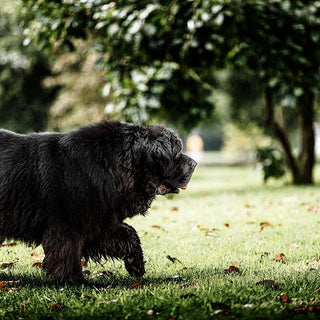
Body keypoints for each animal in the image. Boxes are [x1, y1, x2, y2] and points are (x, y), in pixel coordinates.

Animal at [0, 122, 196, 282]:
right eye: (176, 153)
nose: (194, 163)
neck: (112, 166)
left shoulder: (99, 220)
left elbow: (129, 234)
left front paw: (136, 265)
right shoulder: (66, 225)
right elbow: (67, 251)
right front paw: (72, 280)